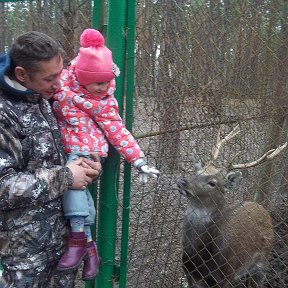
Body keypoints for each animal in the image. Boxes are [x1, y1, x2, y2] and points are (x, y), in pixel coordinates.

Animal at [177, 125, 286, 288]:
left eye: (213, 183)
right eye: (195, 171)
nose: (183, 182)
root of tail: (260, 207)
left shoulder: (224, 277)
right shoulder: (189, 274)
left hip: (263, 261)